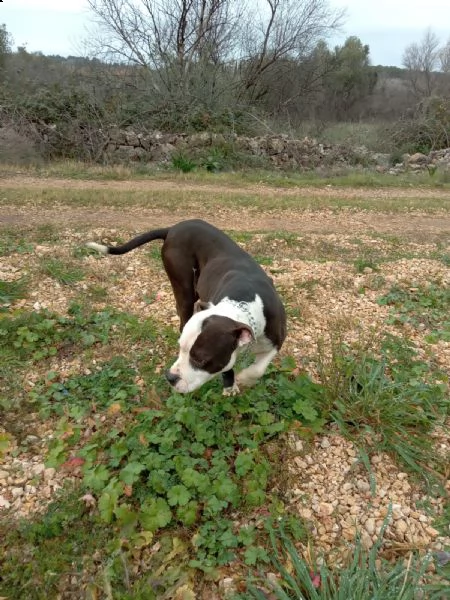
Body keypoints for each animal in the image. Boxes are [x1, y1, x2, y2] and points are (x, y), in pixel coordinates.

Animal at [87, 219, 284, 394]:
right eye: (180, 348)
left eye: (200, 360)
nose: (170, 377)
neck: (240, 305)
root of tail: (173, 228)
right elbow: (230, 367)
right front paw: (231, 385)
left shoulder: (276, 340)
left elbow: (258, 368)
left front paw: (245, 378)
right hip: (184, 287)